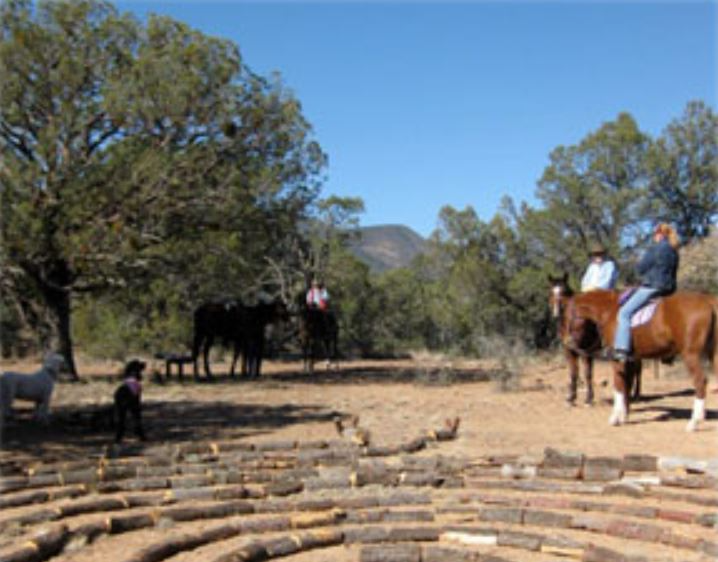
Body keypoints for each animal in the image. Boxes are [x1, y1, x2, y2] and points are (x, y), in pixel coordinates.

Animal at [549, 274, 642, 405]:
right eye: (551, 292)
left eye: (564, 291)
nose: (556, 313)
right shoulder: (569, 351)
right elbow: (573, 373)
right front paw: (571, 398)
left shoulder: (585, 351)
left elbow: (587, 374)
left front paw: (588, 398)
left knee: (637, 369)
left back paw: (636, 394)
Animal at [565, 289, 717, 431]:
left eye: (568, 317)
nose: (569, 344)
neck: (609, 310)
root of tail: (709, 301)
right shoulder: (631, 360)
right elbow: (627, 385)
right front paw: (624, 416)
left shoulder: (617, 360)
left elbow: (619, 386)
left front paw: (615, 418)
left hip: (690, 355)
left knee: (700, 381)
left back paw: (694, 422)